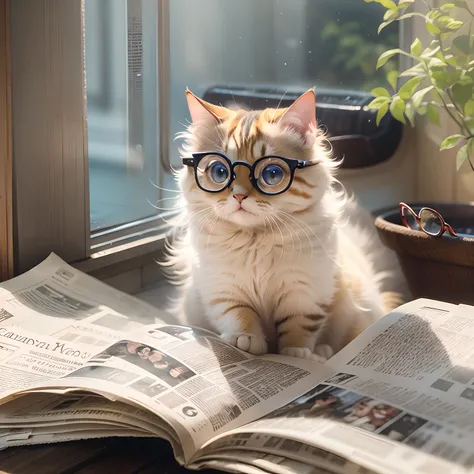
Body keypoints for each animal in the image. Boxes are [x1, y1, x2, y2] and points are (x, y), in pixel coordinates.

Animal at [162, 88, 400, 362]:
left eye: (272, 174)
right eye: (220, 172)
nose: (239, 196)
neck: (255, 240)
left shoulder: (305, 293)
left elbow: (298, 328)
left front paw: (296, 356)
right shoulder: (223, 289)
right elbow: (239, 315)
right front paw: (246, 342)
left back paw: (322, 353)